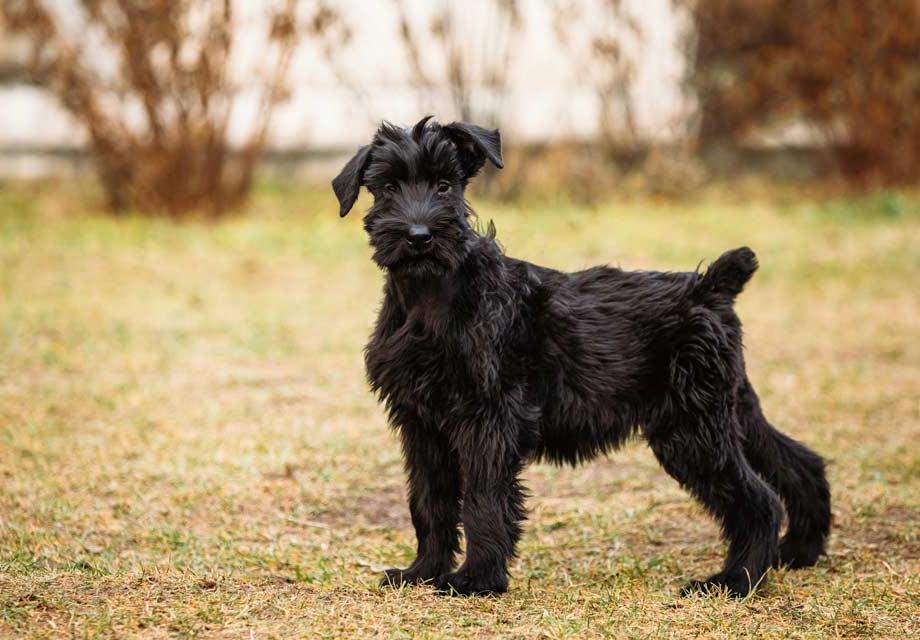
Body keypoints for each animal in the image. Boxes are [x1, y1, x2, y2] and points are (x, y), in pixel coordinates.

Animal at [332, 116, 832, 600]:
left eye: (444, 185)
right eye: (388, 188)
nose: (419, 236)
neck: (430, 299)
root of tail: (711, 287)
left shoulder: (487, 419)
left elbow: (482, 500)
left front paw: (476, 580)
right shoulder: (420, 423)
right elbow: (429, 502)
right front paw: (423, 572)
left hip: (692, 430)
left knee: (759, 500)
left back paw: (734, 581)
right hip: (728, 409)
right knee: (799, 463)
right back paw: (798, 550)